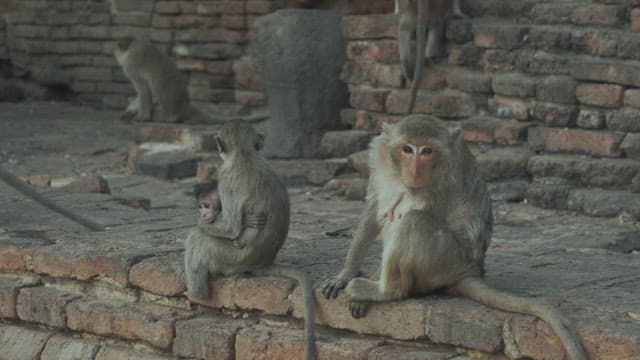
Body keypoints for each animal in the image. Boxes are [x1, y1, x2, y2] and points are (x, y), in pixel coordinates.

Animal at [114, 36, 268, 124]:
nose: (115, 53)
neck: (132, 46)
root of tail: (186, 106)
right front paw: (131, 111)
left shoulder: (131, 65)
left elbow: (143, 89)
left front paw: (143, 116)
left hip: (169, 107)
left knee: (157, 91)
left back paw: (170, 118)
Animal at [184, 120, 316, 360]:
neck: (244, 154)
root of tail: (263, 262)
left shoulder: (225, 177)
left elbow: (230, 227)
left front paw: (201, 223)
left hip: (231, 259)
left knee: (198, 238)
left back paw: (196, 293)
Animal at [322, 115, 588, 360]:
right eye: (407, 149)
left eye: (427, 151)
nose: (415, 172)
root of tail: (470, 269)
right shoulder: (379, 160)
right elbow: (374, 208)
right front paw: (344, 275)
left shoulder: (442, 184)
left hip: (445, 258)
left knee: (413, 220)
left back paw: (387, 290)